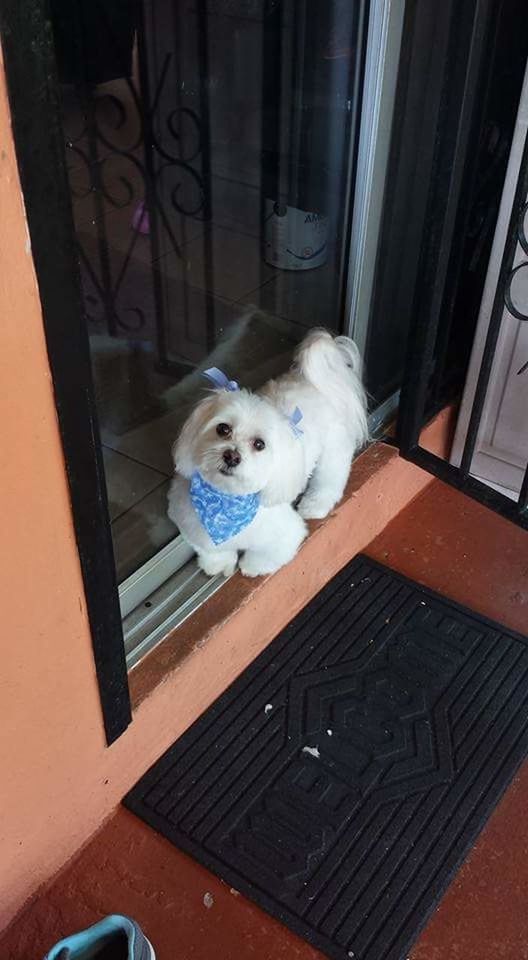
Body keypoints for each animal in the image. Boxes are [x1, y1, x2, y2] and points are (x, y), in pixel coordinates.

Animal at [168, 330, 368, 576]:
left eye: (259, 444)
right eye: (223, 429)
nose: (231, 456)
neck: (224, 503)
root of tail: (313, 381)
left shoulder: (284, 535)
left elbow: (268, 555)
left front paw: (251, 567)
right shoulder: (191, 525)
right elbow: (210, 550)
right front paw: (218, 564)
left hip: (332, 451)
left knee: (330, 479)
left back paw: (315, 505)